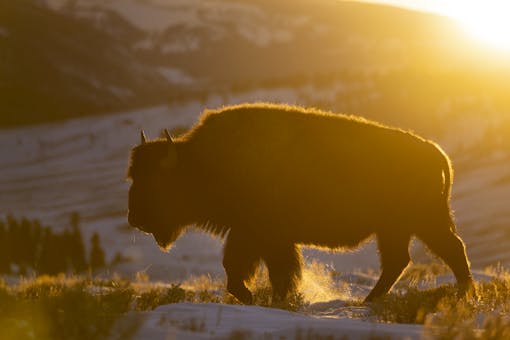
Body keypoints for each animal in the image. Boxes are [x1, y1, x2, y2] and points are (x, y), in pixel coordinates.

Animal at [126, 103, 474, 302]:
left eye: (157, 181)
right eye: (132, 176)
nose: (134, 218)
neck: (202, 163)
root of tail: (434, 151)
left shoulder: (260, 236)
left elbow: (255, 268)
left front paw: (262, 297)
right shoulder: (256, 237)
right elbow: (249, 268)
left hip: (420, 222)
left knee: (448, 251)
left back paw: (464, 295)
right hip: (399, 228)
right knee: (403, 260)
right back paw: (372, 301)